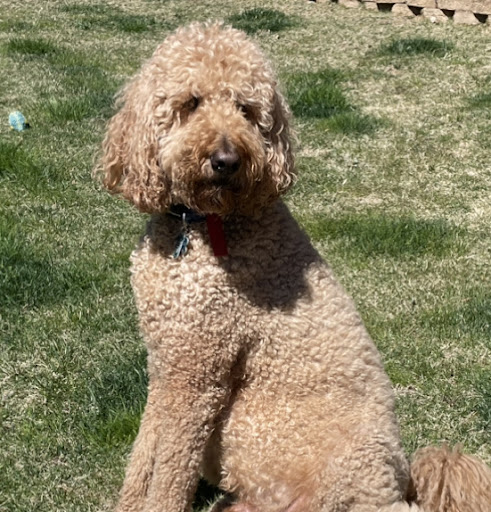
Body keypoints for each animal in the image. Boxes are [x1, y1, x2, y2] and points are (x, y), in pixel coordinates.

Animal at [97, 22, 491, 512]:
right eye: (190, 103)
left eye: (247, 110)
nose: (227, 160)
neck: (200, 225)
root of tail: (400, 491)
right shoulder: (168, 362)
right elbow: (144, 452)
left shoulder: (199, 371)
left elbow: (170, 471)